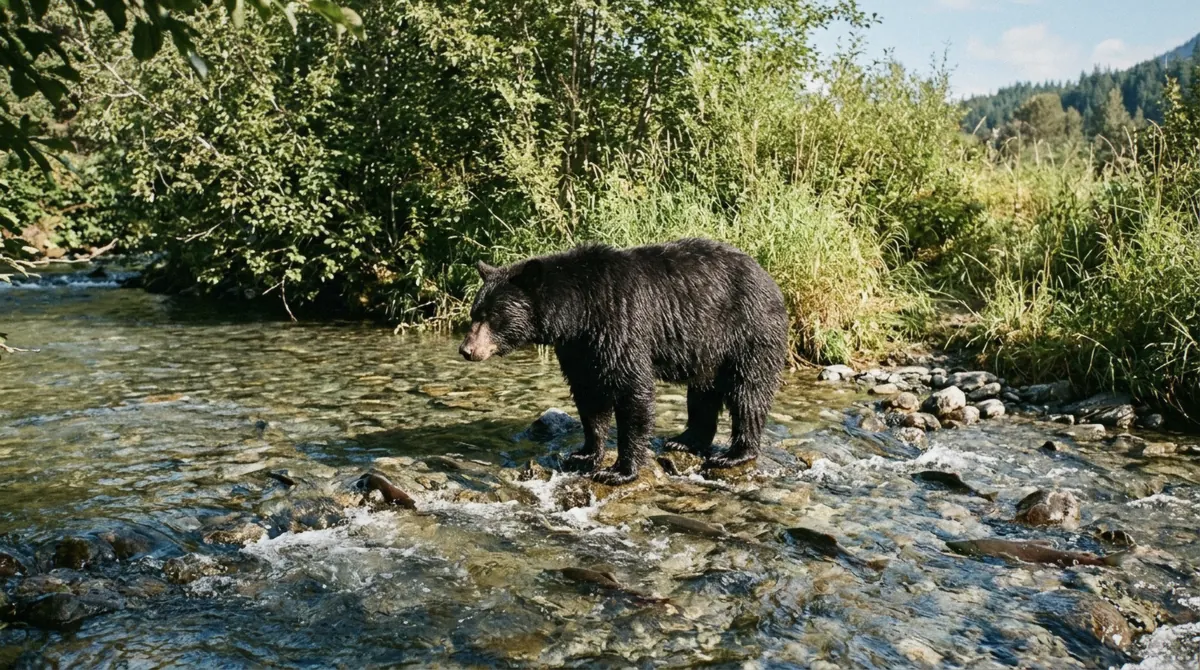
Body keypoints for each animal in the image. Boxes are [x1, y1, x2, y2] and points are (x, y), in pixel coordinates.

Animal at [458, 238, 788, 485]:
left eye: (492, 316)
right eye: (475, 313)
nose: (466, 349)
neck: (580, 312)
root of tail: (768, 277)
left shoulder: (620, 325)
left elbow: (632, 392)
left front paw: (619, 470)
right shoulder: (580, 348)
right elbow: (589, 396)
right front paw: (584, 454)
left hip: (747, 332)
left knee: (748, 392)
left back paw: (735, 454)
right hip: (707, 349)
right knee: (702, 394)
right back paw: (685, 440)